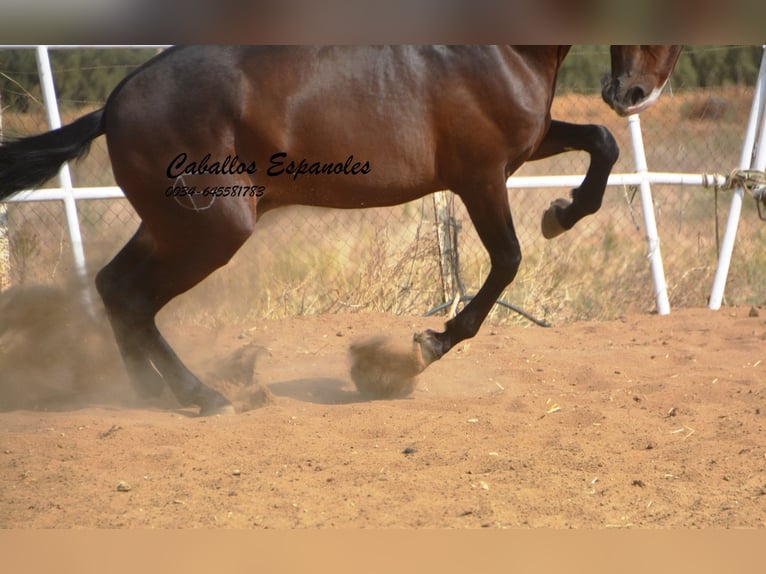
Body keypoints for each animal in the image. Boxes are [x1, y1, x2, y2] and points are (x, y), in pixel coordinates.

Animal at [0, 45, 684, 414]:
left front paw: (562, 213)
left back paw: (149, 393)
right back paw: (202, 397)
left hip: (172, 227)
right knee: (135, 297)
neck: (500, 50)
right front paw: (421, 350)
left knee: (115, 288)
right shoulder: (482, 175)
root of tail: (113, 106)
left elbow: (601, 142)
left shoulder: (527, 147)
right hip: (210, 230)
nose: (630, 92)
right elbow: (509, 261)